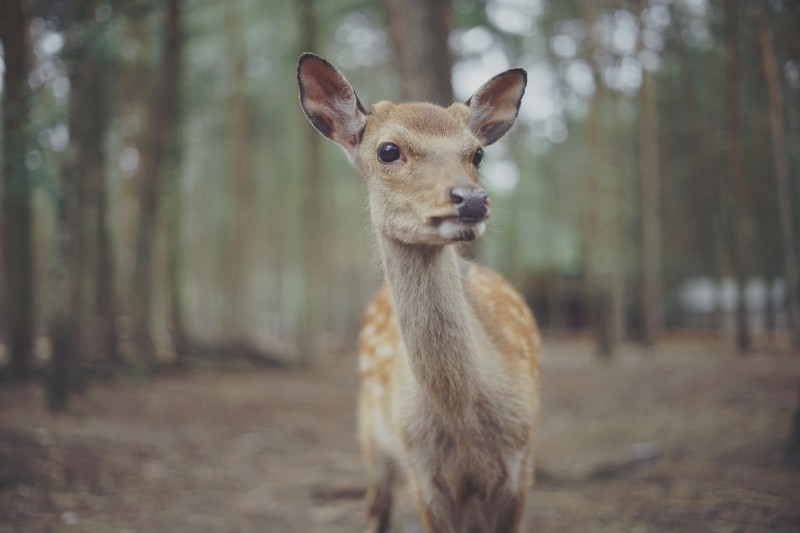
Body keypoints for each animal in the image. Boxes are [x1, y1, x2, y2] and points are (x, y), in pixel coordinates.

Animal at [296, 55, 540, 532]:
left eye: (477, 153)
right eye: (388, 150)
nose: (472, 200)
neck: (462, 419)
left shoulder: (521, 463)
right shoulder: (423, 475)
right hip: (371, 435)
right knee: (376, 507)